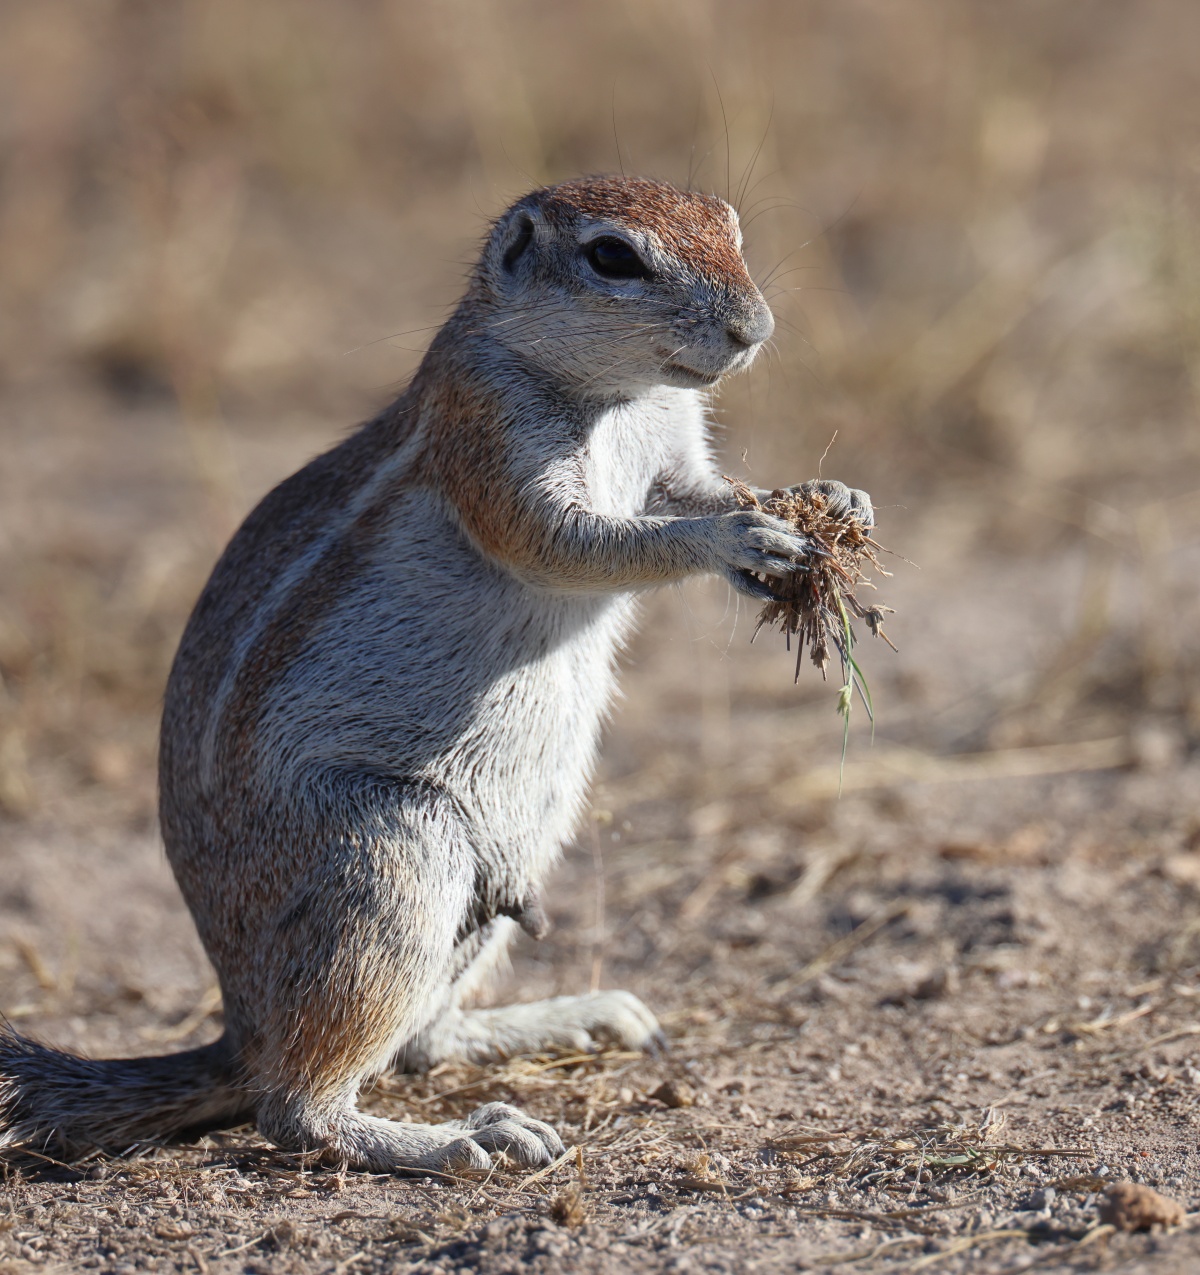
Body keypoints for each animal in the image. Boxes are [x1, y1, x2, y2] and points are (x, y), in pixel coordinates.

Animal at [0, 175, 872, 1173]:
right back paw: (461, 1136)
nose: (753, 327)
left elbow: (699, 491)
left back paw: (568, 1016)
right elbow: (578, 541)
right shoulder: (486, 438)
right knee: (292, 1107)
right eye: (613, 256)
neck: (623, 396)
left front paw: (831, 500)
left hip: (508, 873)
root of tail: (240, 1024)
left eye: (729, 226)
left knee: (420, 1041)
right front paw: (737, 535)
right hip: (393, 857)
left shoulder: (674, 456)